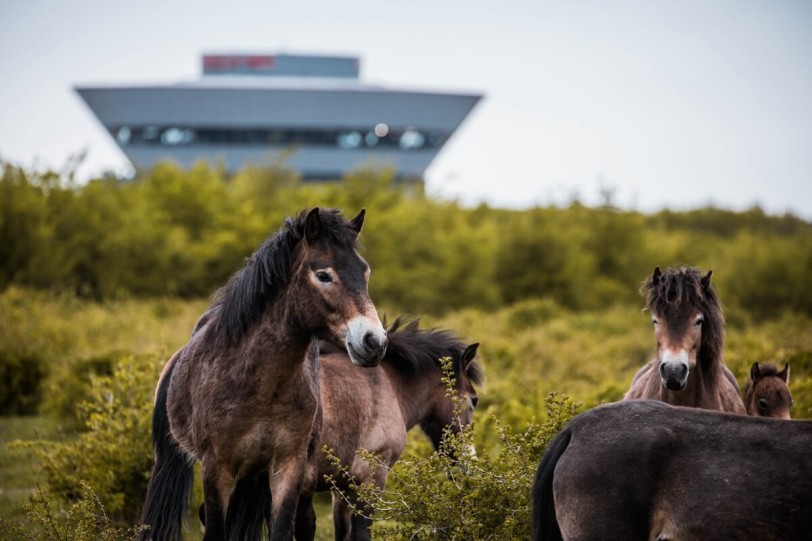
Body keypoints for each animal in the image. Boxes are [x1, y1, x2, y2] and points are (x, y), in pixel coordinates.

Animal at [138, 208, 388, 540]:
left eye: (365, 271)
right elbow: (215, 529)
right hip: (174, 460)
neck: (261, 385)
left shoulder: (288, 466)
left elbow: (281, 528)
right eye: (323, 275)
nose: (374, 342)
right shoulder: (217, 467)